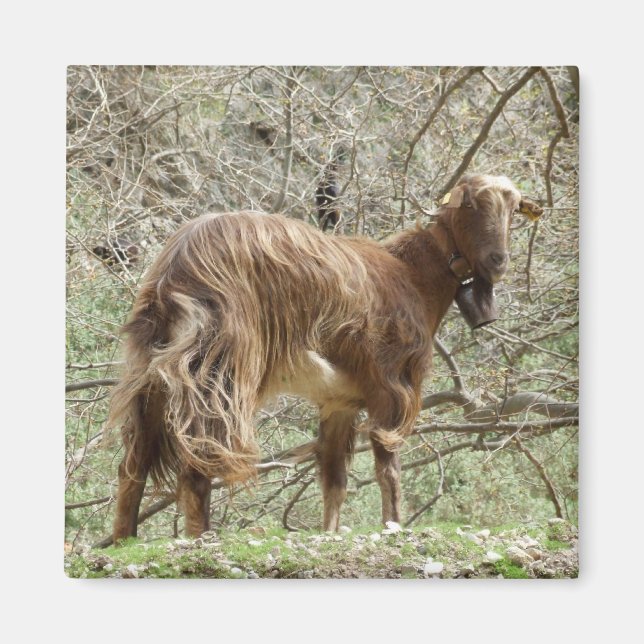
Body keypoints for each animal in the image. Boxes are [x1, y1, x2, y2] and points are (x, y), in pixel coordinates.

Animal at [107, 174, 541, 540]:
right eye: (470, 204)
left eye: (514, 209)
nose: (498, 261)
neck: (412, 275)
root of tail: (175, 269)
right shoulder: (392, 384)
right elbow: (389, 468)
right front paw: (393, 525)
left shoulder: (340, 400)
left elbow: (334, 480)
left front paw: (329, 533)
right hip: (221, 362)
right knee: (201, 452)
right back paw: (199, 539)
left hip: (153, 366)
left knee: (134, 460)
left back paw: (125, 539)